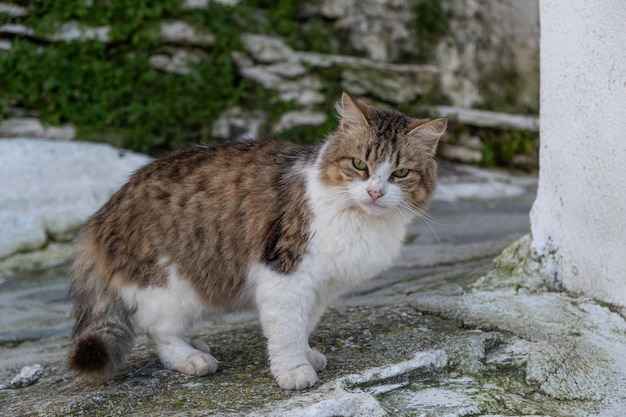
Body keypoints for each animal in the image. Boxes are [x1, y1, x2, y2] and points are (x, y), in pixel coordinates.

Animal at [68, 92, 444, 388]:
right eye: (359, 165)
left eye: (400, 173)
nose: (375, 191)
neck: (363, 221)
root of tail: (102, 212)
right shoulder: (286, 274)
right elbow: (286, 331)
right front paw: (294, 370)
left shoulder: (321, 285)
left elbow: (303, 325)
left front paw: (307, 354)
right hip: (171, 286)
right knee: (158, 332)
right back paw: (192, 358)